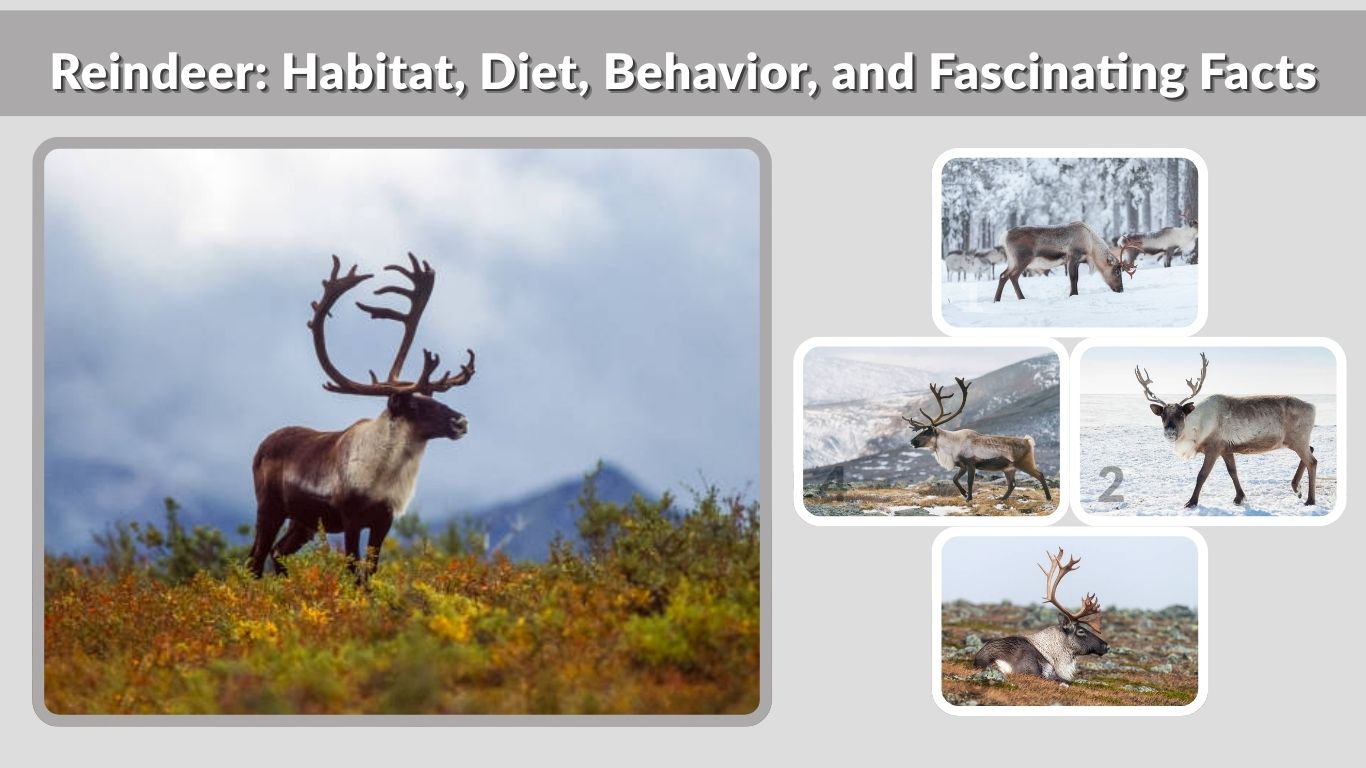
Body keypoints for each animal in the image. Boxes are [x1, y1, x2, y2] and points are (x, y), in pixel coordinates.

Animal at [248, 253, 477, 581]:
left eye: (433, 399)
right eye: (414, 407)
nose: (461, 421)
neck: (384, 474)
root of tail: (262, 445)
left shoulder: (384, 520)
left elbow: (370, 572)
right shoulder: (351, 518)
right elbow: (353, 570)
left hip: (303, 521)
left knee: (279, 552)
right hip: (269, 507)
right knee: (255, 559)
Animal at [902, 378, 1051, 503]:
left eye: (926, 432)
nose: (912, 442)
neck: (951, 446)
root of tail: (1028, 441)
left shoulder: (971, 464)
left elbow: (969, 482)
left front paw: (969, 498)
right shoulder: (961, 465)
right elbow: (954, 479)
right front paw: (964, 494)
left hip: (1024, 462)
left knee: (1040, 474)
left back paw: (1048, 498)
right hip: (1009, 468)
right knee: (1012, 484)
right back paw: (1001, 498)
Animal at [995, 222, 1128, 301]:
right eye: (1117, 271)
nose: (1121, 289)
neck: (1091, 247)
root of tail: (1004, 236)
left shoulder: (1077, 261)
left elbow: (1075, 279)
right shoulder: (1072, 257)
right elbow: (1074, 278)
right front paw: (1073, 294)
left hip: (1012, 261)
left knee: (1003, 275)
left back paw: (997, 299)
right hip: (1022, 259)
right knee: (1012, 276)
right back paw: (1021, 298)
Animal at [1135, 352, 1317, 509]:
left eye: (1181, 414)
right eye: (1163, 415)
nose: (1170, 432)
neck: (1197, 428)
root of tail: (1312, 407)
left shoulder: (1214, 448)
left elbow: (1202, 475)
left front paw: (1191, 502)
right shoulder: (1226, 449)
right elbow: (1232, 472)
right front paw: (1239, 497)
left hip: (1298, 439)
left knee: (1312, 461)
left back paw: (1310, 499)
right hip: (1295, 441)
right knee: (1311, 450)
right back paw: (1296, 488)